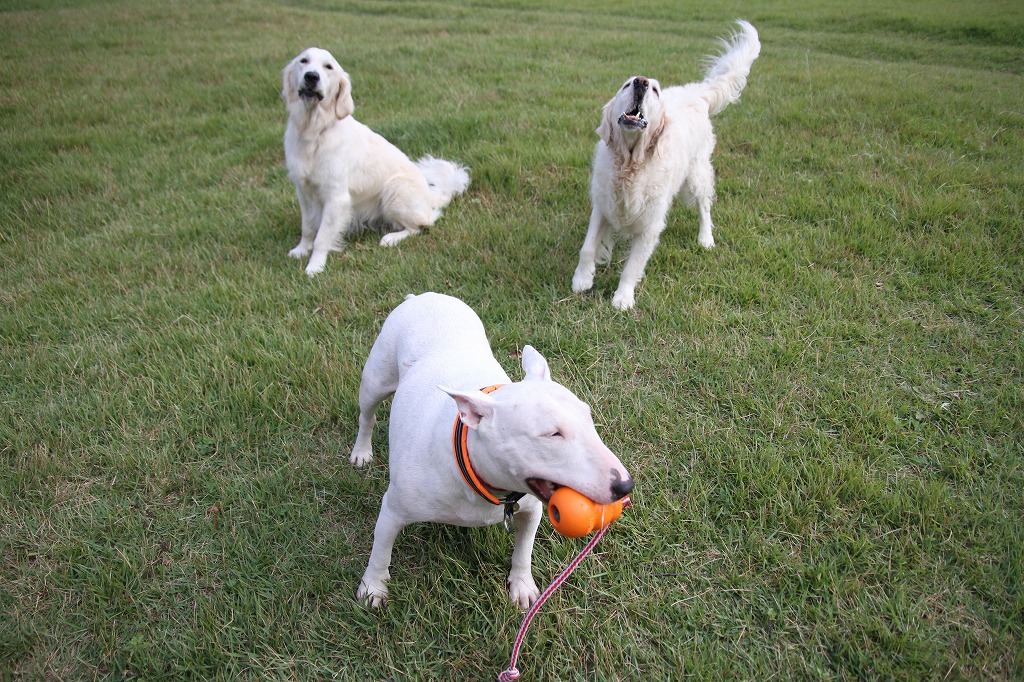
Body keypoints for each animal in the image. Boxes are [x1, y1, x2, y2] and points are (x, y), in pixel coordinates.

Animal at [282, 47, 468, 276]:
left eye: (328, 67)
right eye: (303, 61)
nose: (311, 77)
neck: (314, 132)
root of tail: (430, 195)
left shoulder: (336, 197)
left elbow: (322, 237)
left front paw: (315, 267)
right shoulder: (304, 191)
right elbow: (308, 228)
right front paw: (301, 250)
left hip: (394, 189)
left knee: (423, 223)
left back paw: (391, 239)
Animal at [348, 292, 630, 606]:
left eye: (588, 417)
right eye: (552, 434)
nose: (625, 486)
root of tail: (423, 295)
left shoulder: (531, 510)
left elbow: (524, 549)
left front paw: (522, 586)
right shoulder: (394, 509)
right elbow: (381, 549)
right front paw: (373, 588)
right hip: (376, 378)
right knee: (367, 414)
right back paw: (361, 452)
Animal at [569, 20, 761, 307]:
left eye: (655, 90)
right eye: (627, 85)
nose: (641, 82)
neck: (630, 165)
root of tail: (697, 92)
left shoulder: (650, 224)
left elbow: (633, 266)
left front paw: (623, 298)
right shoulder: (603, 205)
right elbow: (588, 246)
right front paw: (582, 280)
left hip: (696, 175)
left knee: (705, 207)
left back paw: (705, 238)